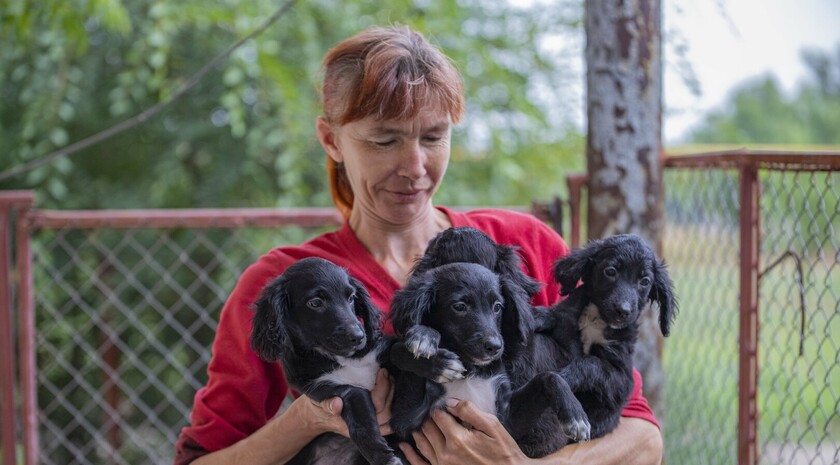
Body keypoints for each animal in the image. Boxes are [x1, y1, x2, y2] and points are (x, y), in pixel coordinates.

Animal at [249, 256, 400, 464]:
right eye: (315, 303)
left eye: (351, 298)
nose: (359, 337)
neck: (341, 358)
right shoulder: (335, 389)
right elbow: (361, 425)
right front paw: (382, 457)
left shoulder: (382, 351)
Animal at [540, 234, 676, 440]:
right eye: (611, 271)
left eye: (644, 281)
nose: (623, 311)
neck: (597, 319)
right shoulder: (562, 321)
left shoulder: (622, 380)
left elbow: (591, 363)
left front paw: (566, 376)